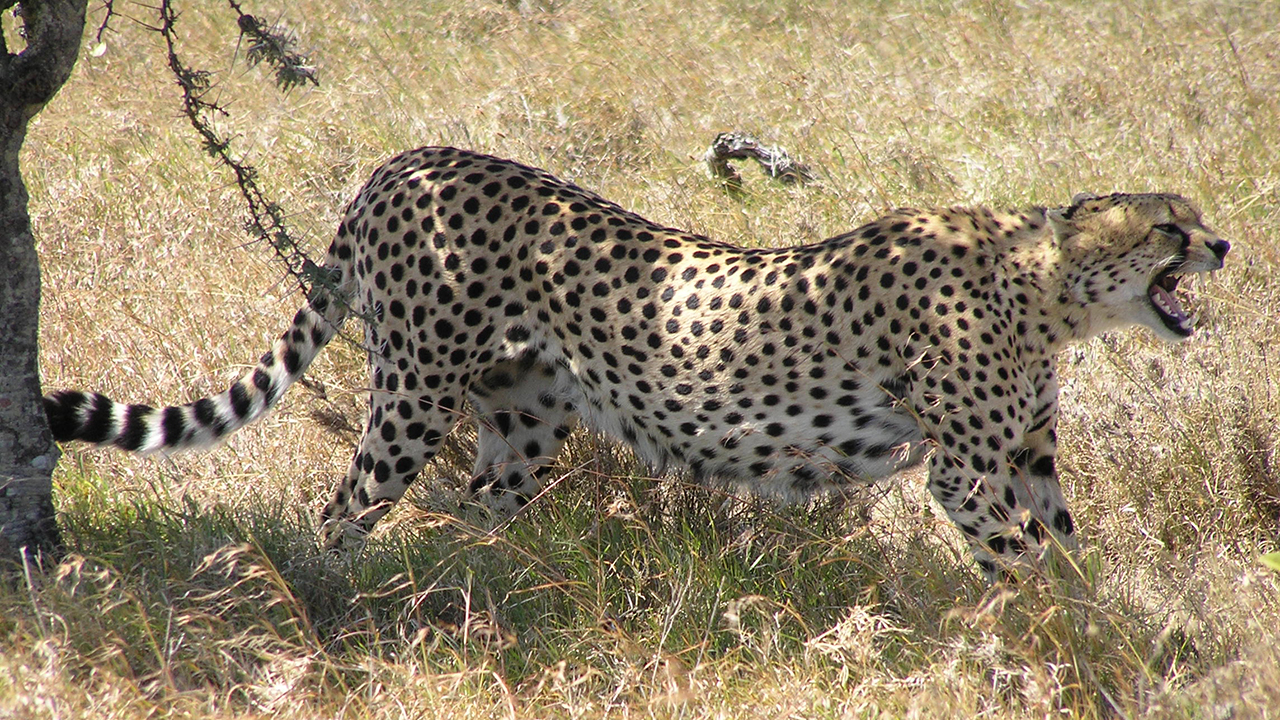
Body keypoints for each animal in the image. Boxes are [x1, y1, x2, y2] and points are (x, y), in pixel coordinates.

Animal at [44, 146, 1230, 579]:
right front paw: (1045, 639)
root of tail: (404, 158)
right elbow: (1019, 563)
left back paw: (493, 596)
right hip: (413, 392)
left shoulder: (1026, 456)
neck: (1048, 286)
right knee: (341, 511)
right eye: (1170, 227)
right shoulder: (965, 469)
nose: (1222, 247)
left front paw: (1103, 626)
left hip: (522, 423)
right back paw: (336, 602)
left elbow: (1069, 549)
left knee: (473, 515)